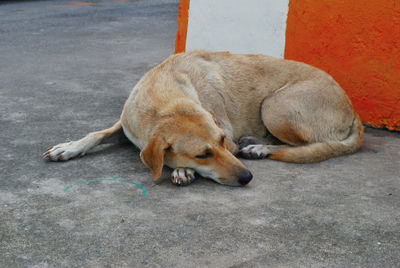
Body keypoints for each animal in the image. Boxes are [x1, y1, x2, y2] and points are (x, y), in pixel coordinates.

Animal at [43, 51, 362, 187]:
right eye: (203, 154)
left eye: (222, 142)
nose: (247, 177)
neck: (165, 97)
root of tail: (353, 110)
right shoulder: (127, 123)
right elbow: (98, 133)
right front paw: (68, 147)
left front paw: (182, 170)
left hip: (275, 105)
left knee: (303, 145)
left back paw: (260, 148)